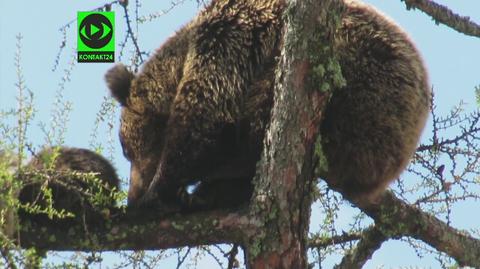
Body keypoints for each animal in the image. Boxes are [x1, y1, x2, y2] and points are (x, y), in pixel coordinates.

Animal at [107, 0, 430, 208]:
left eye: (127, 151)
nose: (132, 195)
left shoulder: (230, 36)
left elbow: (206, 117)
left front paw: (160, 191)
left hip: (360, 76)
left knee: (266, 107)